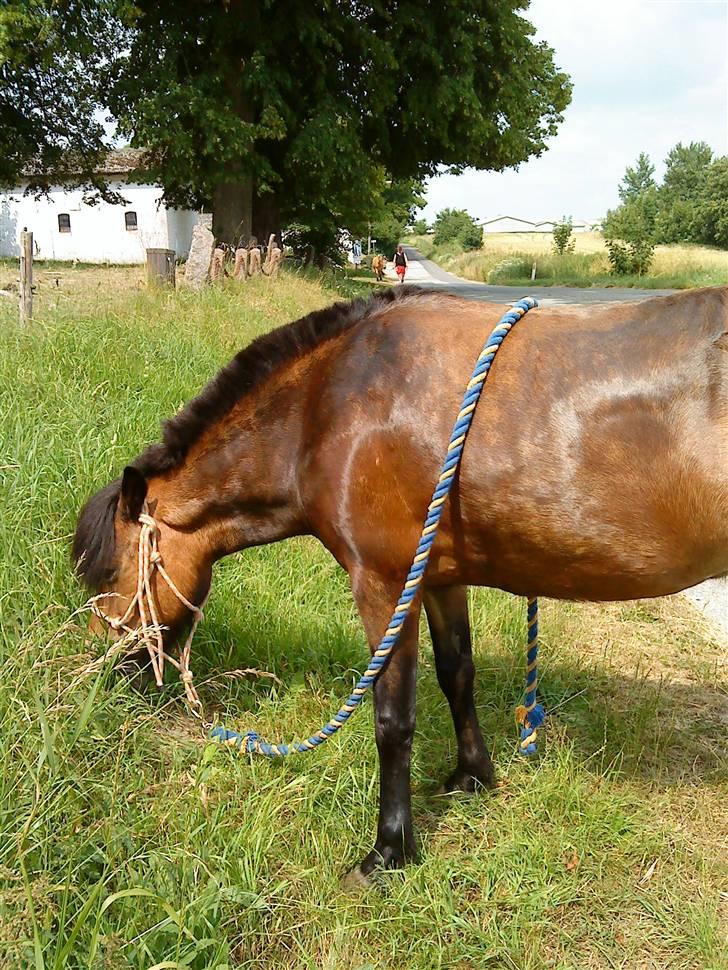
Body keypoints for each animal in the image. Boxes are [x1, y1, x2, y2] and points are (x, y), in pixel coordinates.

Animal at [74, 284, 728, 880]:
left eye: (111, 572)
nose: (111, 672)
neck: (327, 407)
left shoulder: (383, 584)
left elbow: (392, 718)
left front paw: (389, 850)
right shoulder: (437, 579)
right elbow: (457, 675)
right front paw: (472, 776)